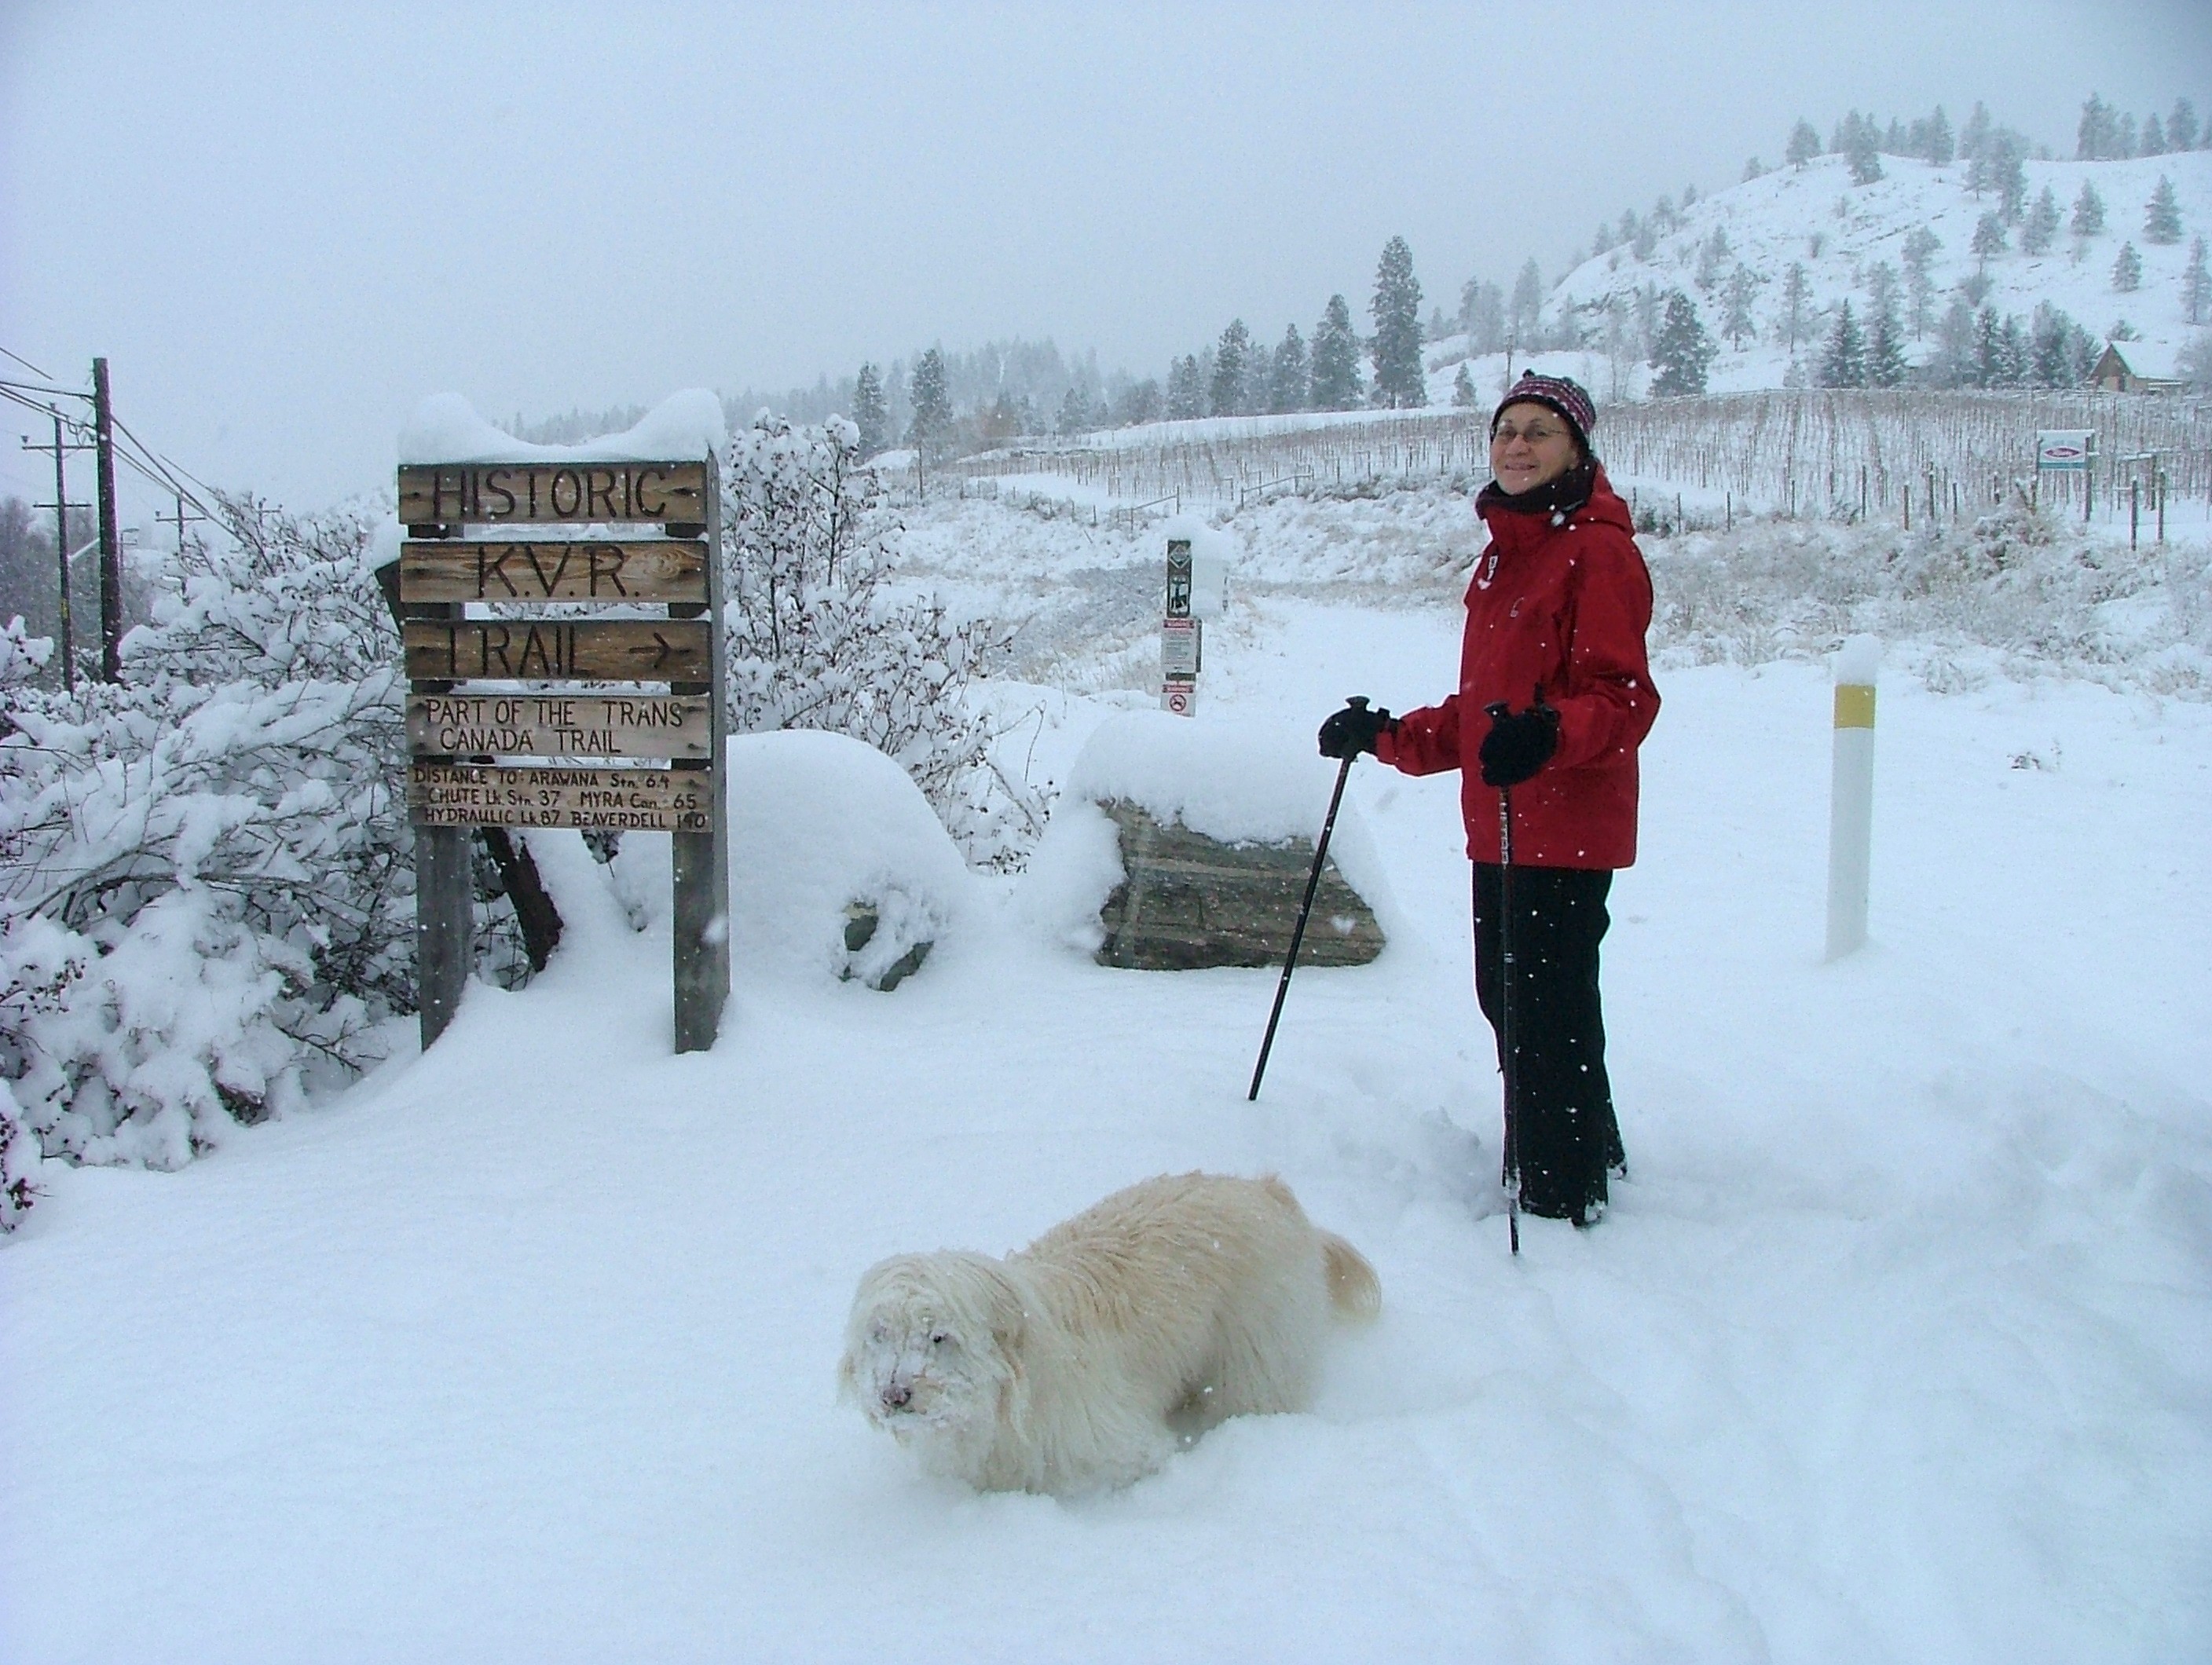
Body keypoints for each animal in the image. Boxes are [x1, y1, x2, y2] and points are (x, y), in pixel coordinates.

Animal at [836, 1167, 1371, 1495]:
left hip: (1258, 1353)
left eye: (939, 1337)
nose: (893, 1395)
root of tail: (1267, 1191)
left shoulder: (1119, 1446)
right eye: (879, 1334)